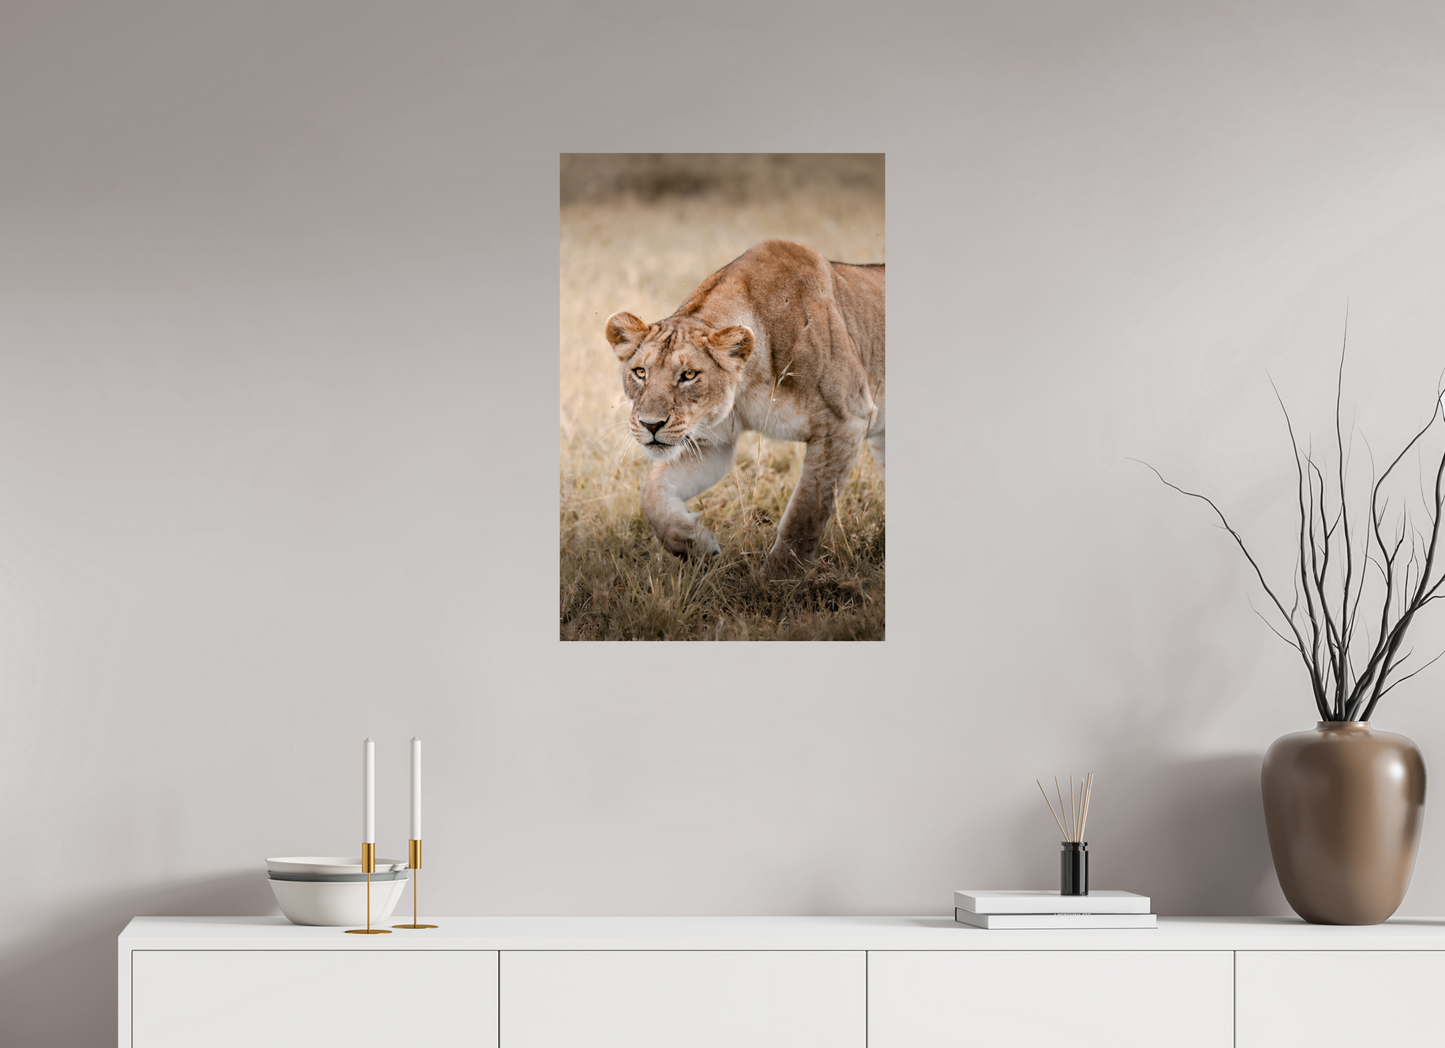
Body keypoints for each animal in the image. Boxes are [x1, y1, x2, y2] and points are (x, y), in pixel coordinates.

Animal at [605, 239, 884, 575]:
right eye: (640, 372)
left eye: (688, 376)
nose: (650, 425)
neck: (748, 383)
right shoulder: (710, 441)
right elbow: (651, 494)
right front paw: (696, 545)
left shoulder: (846, 421)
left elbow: (806, 512)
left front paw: (778, 578)